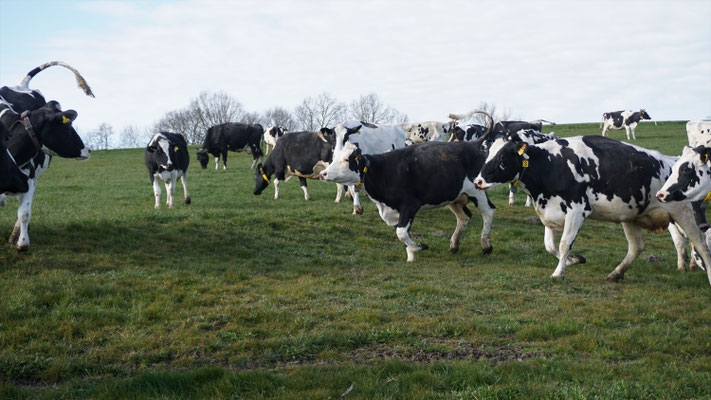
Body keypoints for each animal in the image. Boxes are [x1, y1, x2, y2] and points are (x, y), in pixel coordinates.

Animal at [318, 141, 496, 262]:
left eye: (347, 160)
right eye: (336, 157)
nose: (323, 173)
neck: (383, 171)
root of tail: (475, 147)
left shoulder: (410, 205)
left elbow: (401, 233)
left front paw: (419, 247)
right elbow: (403, 233)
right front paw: (411, 255)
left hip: (478, 191)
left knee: (488, 212)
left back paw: (486, 245)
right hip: (454, 196)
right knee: (463, 217)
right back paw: (454, 245)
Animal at [472, 134, 711, 284]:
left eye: (502, 157)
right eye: (487, 154)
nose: (478, 181)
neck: (551, 164)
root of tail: (674, 161)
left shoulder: (577, 210)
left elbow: (564, 244)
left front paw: (558, 273)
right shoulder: (550, 211)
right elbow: (550, 246)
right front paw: (574, 260)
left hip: (685, 212)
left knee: (700, 244)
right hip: (630, 216)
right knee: (637, 247)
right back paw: (616, 274)